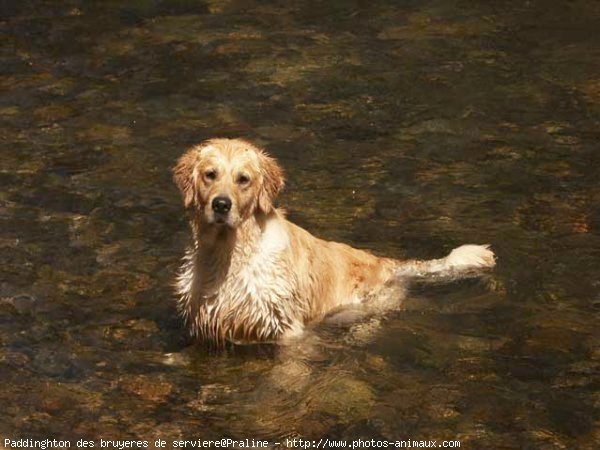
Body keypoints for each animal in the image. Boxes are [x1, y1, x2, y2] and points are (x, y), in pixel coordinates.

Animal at [171, 139, 494, 346]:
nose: (221, 204)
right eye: (210, 175)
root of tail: (385, 262)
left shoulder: (287, 329)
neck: (228, 253)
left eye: (243, 179)